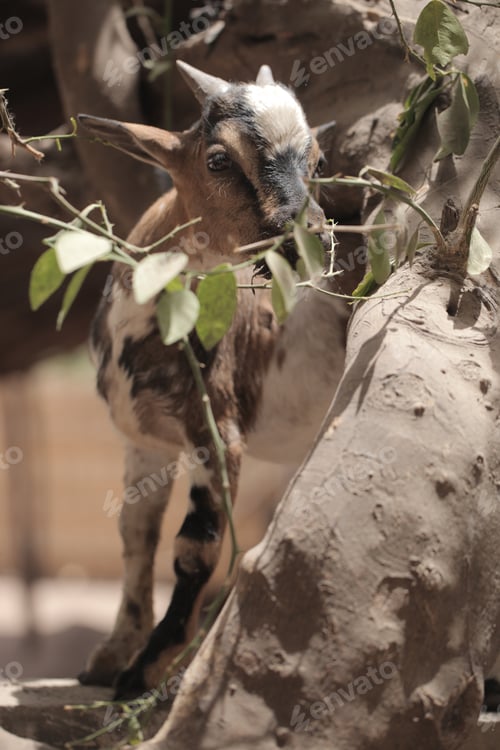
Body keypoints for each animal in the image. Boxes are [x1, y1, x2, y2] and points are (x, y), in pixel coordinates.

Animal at [77, 61, 347, 698]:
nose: (310, 239)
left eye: (318, 159)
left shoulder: (217, 433)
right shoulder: (144, 444)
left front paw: (145, 670)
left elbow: (193, 549)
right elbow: (136, 535)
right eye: (219, 159)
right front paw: (113, 654)